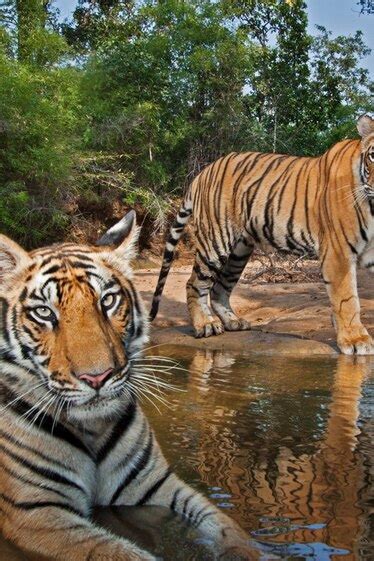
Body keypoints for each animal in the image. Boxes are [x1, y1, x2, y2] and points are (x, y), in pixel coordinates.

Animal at [0, 211, 254, 560]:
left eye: (107, 301)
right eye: (43, 312)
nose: (98, 377)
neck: (92, 429)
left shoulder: (153, 483)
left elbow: (225, 525)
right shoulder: (37, 513)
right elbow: (118, 552)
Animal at [150, 112, 374, 354]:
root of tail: (203, 172)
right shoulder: (338, 252)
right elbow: (347, 299)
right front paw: (356, 341)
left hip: (239, 251)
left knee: (219, 287)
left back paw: (233, 322)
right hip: (215, 242)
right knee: (195, 283)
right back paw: (205, 325)